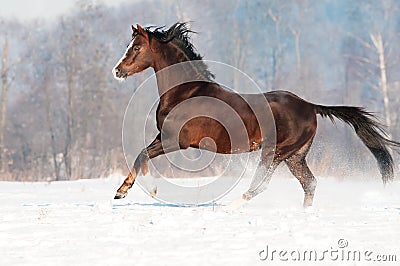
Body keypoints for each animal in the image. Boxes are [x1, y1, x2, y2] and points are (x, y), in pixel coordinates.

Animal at [111, 21, 398, 207]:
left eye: (136, 48)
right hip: (295, 156)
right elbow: (140, 154)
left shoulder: (177, 141)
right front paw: (123, 191)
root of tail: (309, 105)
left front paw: (139, 191)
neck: (186, 91)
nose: (117, 71)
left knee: (262, 184)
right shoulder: (164, 136)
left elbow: (142, 155)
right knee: (310, 183)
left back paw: (230, 206)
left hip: (275, 152)